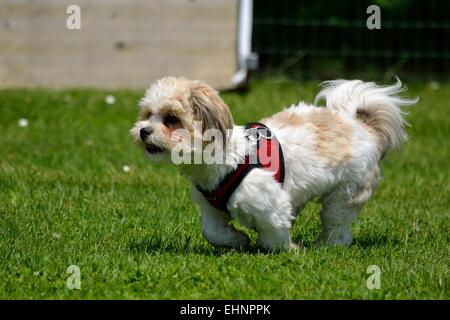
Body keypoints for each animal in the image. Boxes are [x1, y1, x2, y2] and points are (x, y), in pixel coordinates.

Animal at [130, 77, 418, 250]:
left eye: (170, 119)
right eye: (147, 115)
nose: (144, 131)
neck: (226, 160)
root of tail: (358, 124)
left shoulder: (271, 204)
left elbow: (274, 235)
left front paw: (289, 249)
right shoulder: (211, 208)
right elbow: (212, 231)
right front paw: (238, 240)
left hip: (345, 193)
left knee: (338, 223)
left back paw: (327, 245)